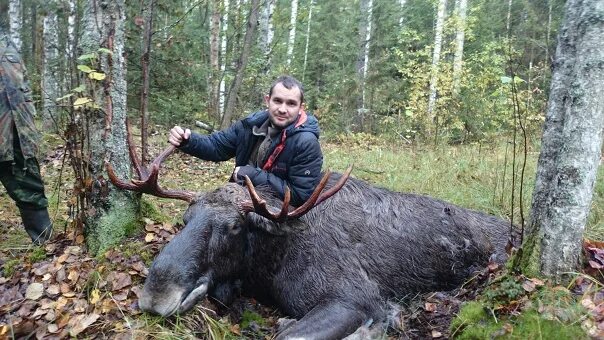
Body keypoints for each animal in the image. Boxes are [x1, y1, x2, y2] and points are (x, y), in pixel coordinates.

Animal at [107, 140, 510, 338]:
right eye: (185, 219)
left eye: (234, 226)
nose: (155, 296)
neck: (271, 262)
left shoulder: (355, 296)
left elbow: (290, 335)